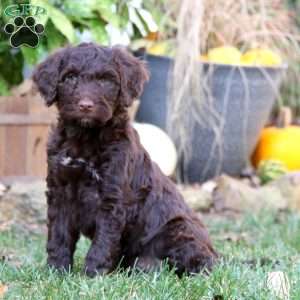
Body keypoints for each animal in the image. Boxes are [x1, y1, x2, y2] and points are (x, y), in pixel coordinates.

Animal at [31, 42, 217, 276]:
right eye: (70, 77)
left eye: (105, 80)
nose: (85, 105)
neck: (85, 137)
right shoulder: (60, 190)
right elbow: (58, 235)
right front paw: (57, 271)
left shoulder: (113, 197)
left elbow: (103, 240)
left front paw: (92, 274)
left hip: (179, 228)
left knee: (201, 261)